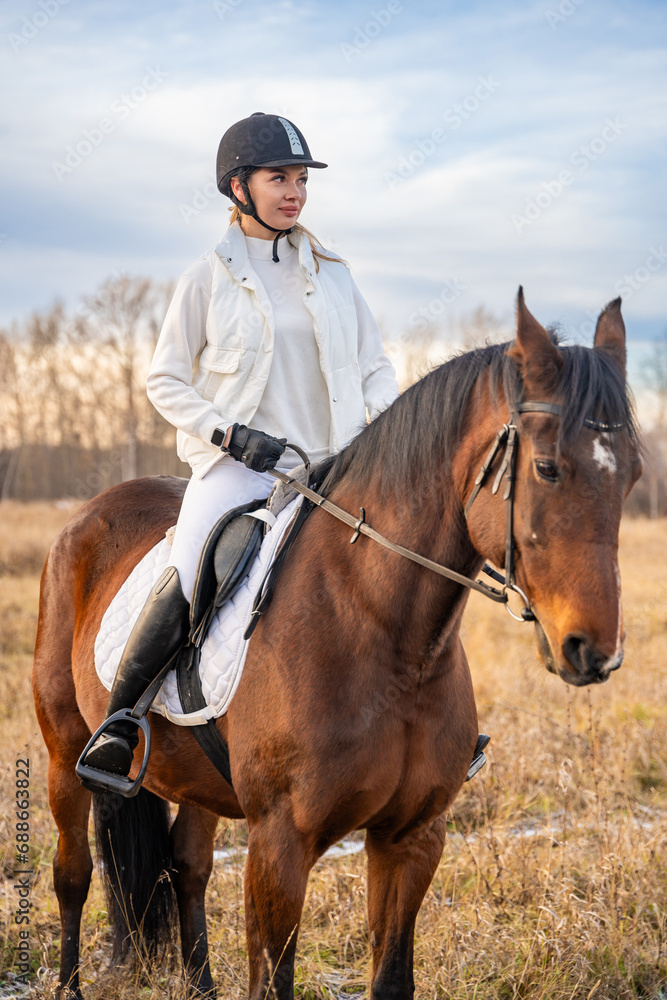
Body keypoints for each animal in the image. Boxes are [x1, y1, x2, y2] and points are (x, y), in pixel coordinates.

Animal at [32, 292, 642, 999]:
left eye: (633, 476)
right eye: (547, 468)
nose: (596, 652)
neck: (384, 637)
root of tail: (91, 511)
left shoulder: (411, 838)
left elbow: (392, 977)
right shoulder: (280, 846)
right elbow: (273, 980)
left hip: (196, 777)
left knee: (188, 867)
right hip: (65, 749)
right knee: (73, 875)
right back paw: (70, 981)